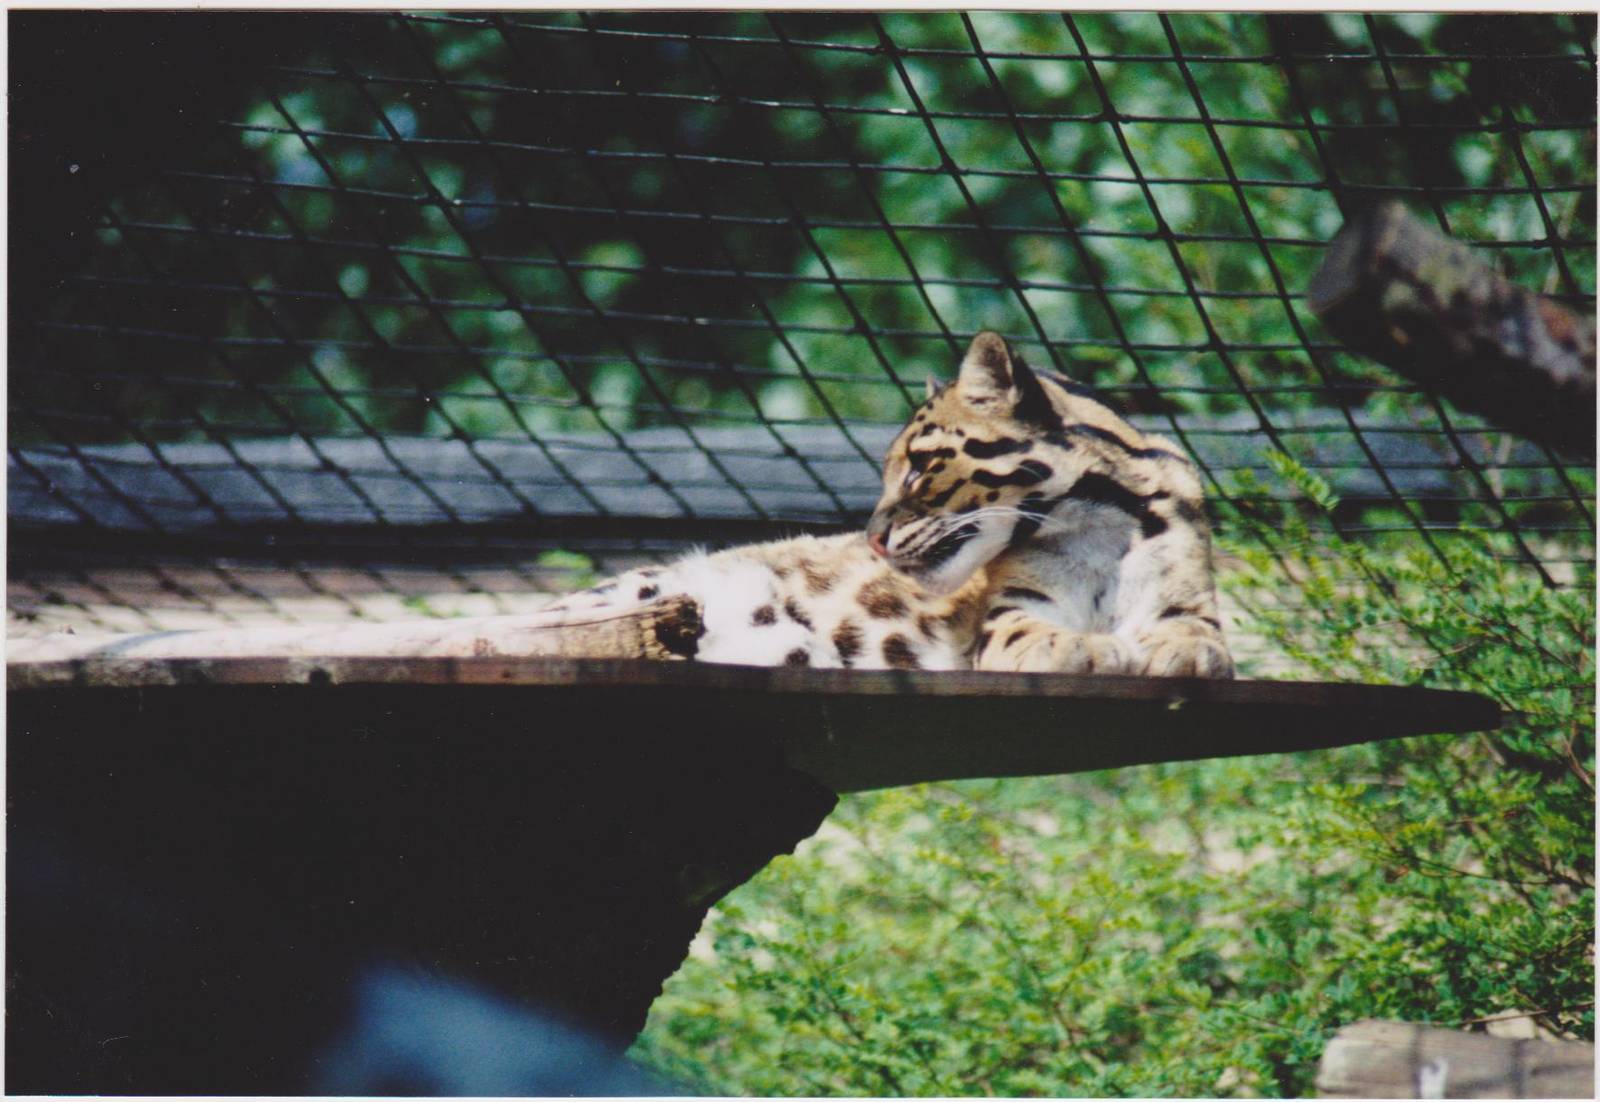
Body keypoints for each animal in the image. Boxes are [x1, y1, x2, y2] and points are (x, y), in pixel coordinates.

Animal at [541, 331, 1233, 678]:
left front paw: (1183, 651)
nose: (872, 538)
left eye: (922, 467)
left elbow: (1199, 634)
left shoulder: (1188, 599)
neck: (1097, 526)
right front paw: (1087, 648)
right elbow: (1034, 633)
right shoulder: (1008, 617)